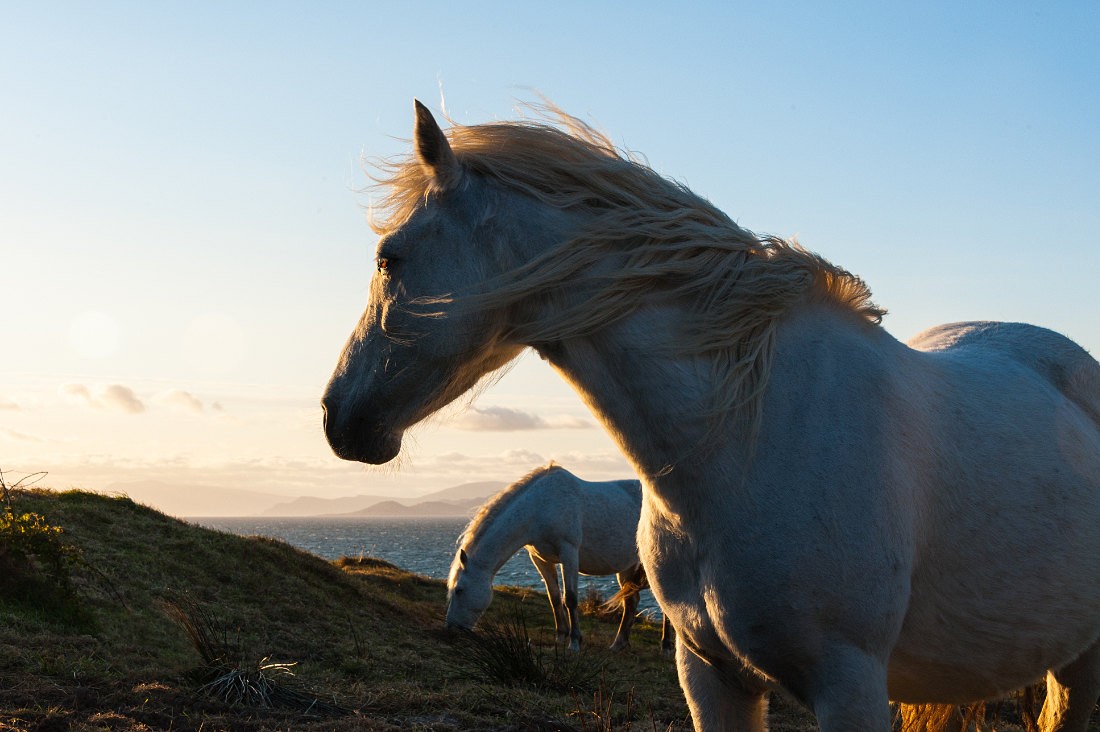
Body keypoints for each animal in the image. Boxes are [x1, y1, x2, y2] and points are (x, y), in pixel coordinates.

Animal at [444, 462, 673, 651]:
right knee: (631, 601)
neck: (540, 507)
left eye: (459, 590)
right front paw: (560, 637)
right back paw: (618, 644)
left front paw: (574, 642)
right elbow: (554, 598)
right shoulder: (541, 559)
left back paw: (666, 646)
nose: (451, 629)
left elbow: (570, 599)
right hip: (627, 566)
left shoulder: (568, 553)